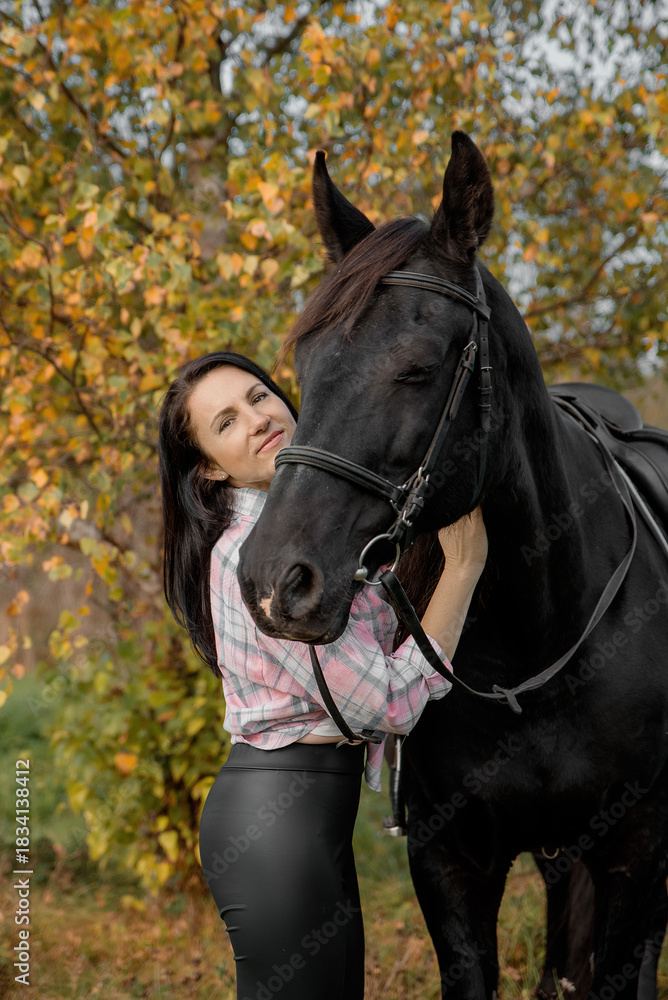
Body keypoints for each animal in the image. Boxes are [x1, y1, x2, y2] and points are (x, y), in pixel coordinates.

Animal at [237, 131, 668, 998]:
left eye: (418, 366)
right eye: (306, 364)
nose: (273, 583)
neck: (536, 651)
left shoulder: (635, 854)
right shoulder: (450, 863)